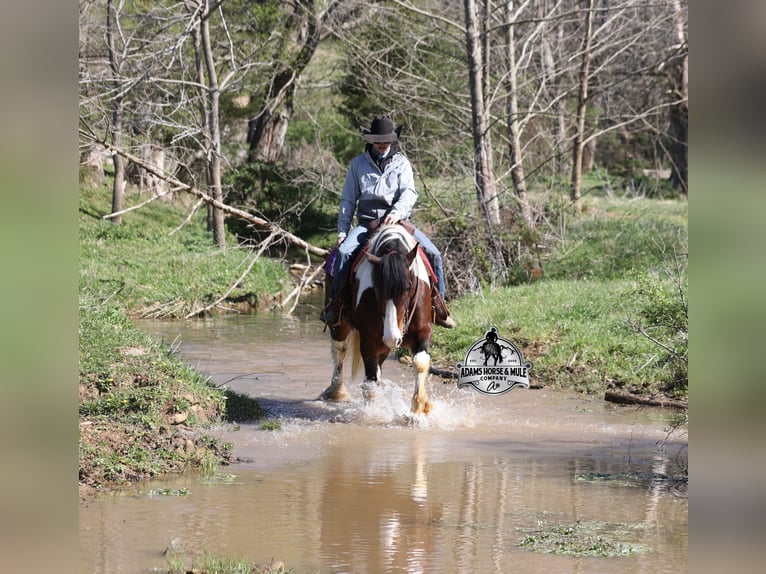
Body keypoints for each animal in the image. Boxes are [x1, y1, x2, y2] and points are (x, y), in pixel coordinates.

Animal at [321, 224, 434, 415]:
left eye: (408, 287)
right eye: (377, 287)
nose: (392, 337)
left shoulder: (423, 330)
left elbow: (420, 363)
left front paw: (418, 411)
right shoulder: (368, 338)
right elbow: (370, 381)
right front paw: (372, 414)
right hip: (340, 325)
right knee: (339, 351)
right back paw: (337, 392)